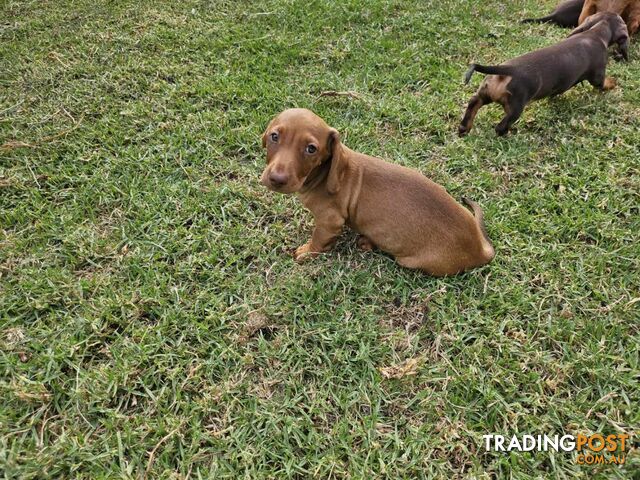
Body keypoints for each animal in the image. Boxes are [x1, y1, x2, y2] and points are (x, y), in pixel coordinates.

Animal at [260, 107, 496, 276]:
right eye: (274, 136)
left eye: (311, 149)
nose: (276, 180)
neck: (325, 174)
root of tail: (480, 248)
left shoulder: (330, 221)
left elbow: (318, 239)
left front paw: (307, 252)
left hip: (410, 260)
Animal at [460, 12, 632, 136]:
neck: (596, 33)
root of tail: (507, 70)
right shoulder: (598, 77)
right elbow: (603, 83)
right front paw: (613, 83)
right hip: (515, 107)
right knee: (501, 126)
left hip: (486, 91)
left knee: (474, 102)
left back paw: (464, 128)